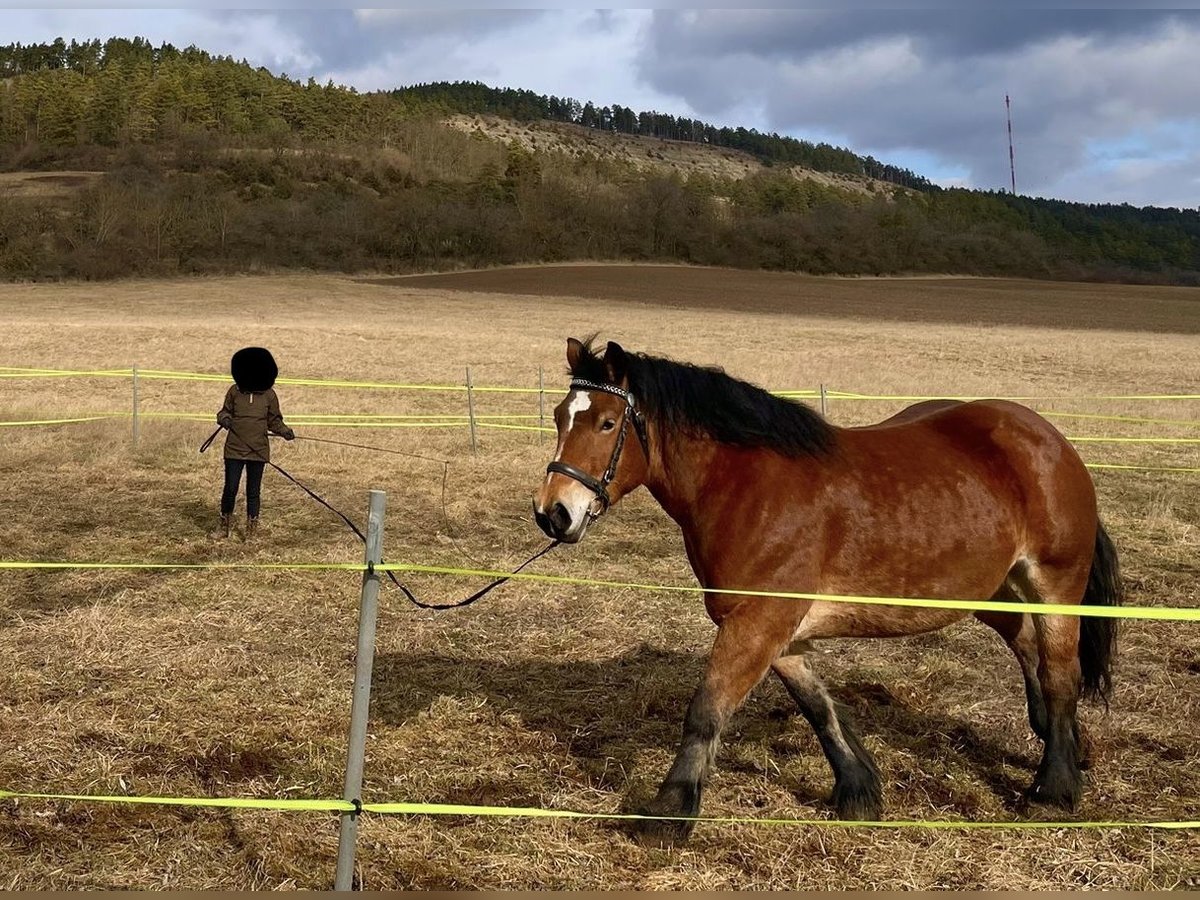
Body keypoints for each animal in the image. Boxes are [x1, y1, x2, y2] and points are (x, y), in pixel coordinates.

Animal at [533, 337, 1122, 843]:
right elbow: (817, 705)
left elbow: (706, 710)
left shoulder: (758, 623)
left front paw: (669, 810)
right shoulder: (773, 629)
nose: (552, 512)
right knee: (1027, 647)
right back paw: (1062, 742)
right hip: (988, 591)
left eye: (607, 422)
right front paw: (858, 787)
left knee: (1060, 673)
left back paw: (1053, 786)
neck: (743, 485)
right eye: (561, 416)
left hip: (1055, 583)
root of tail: (1046, 438)